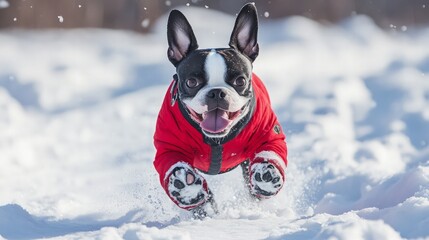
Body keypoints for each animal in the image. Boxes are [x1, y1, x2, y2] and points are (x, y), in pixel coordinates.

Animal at [152, 2, 286, 215]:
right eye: (191, 82)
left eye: (240, 81)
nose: (216, 93)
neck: (216, 140)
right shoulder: (169, 148)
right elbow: (173, 166)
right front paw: (187, 189)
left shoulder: (268, 134)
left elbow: (270, 152)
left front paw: (267, 176)